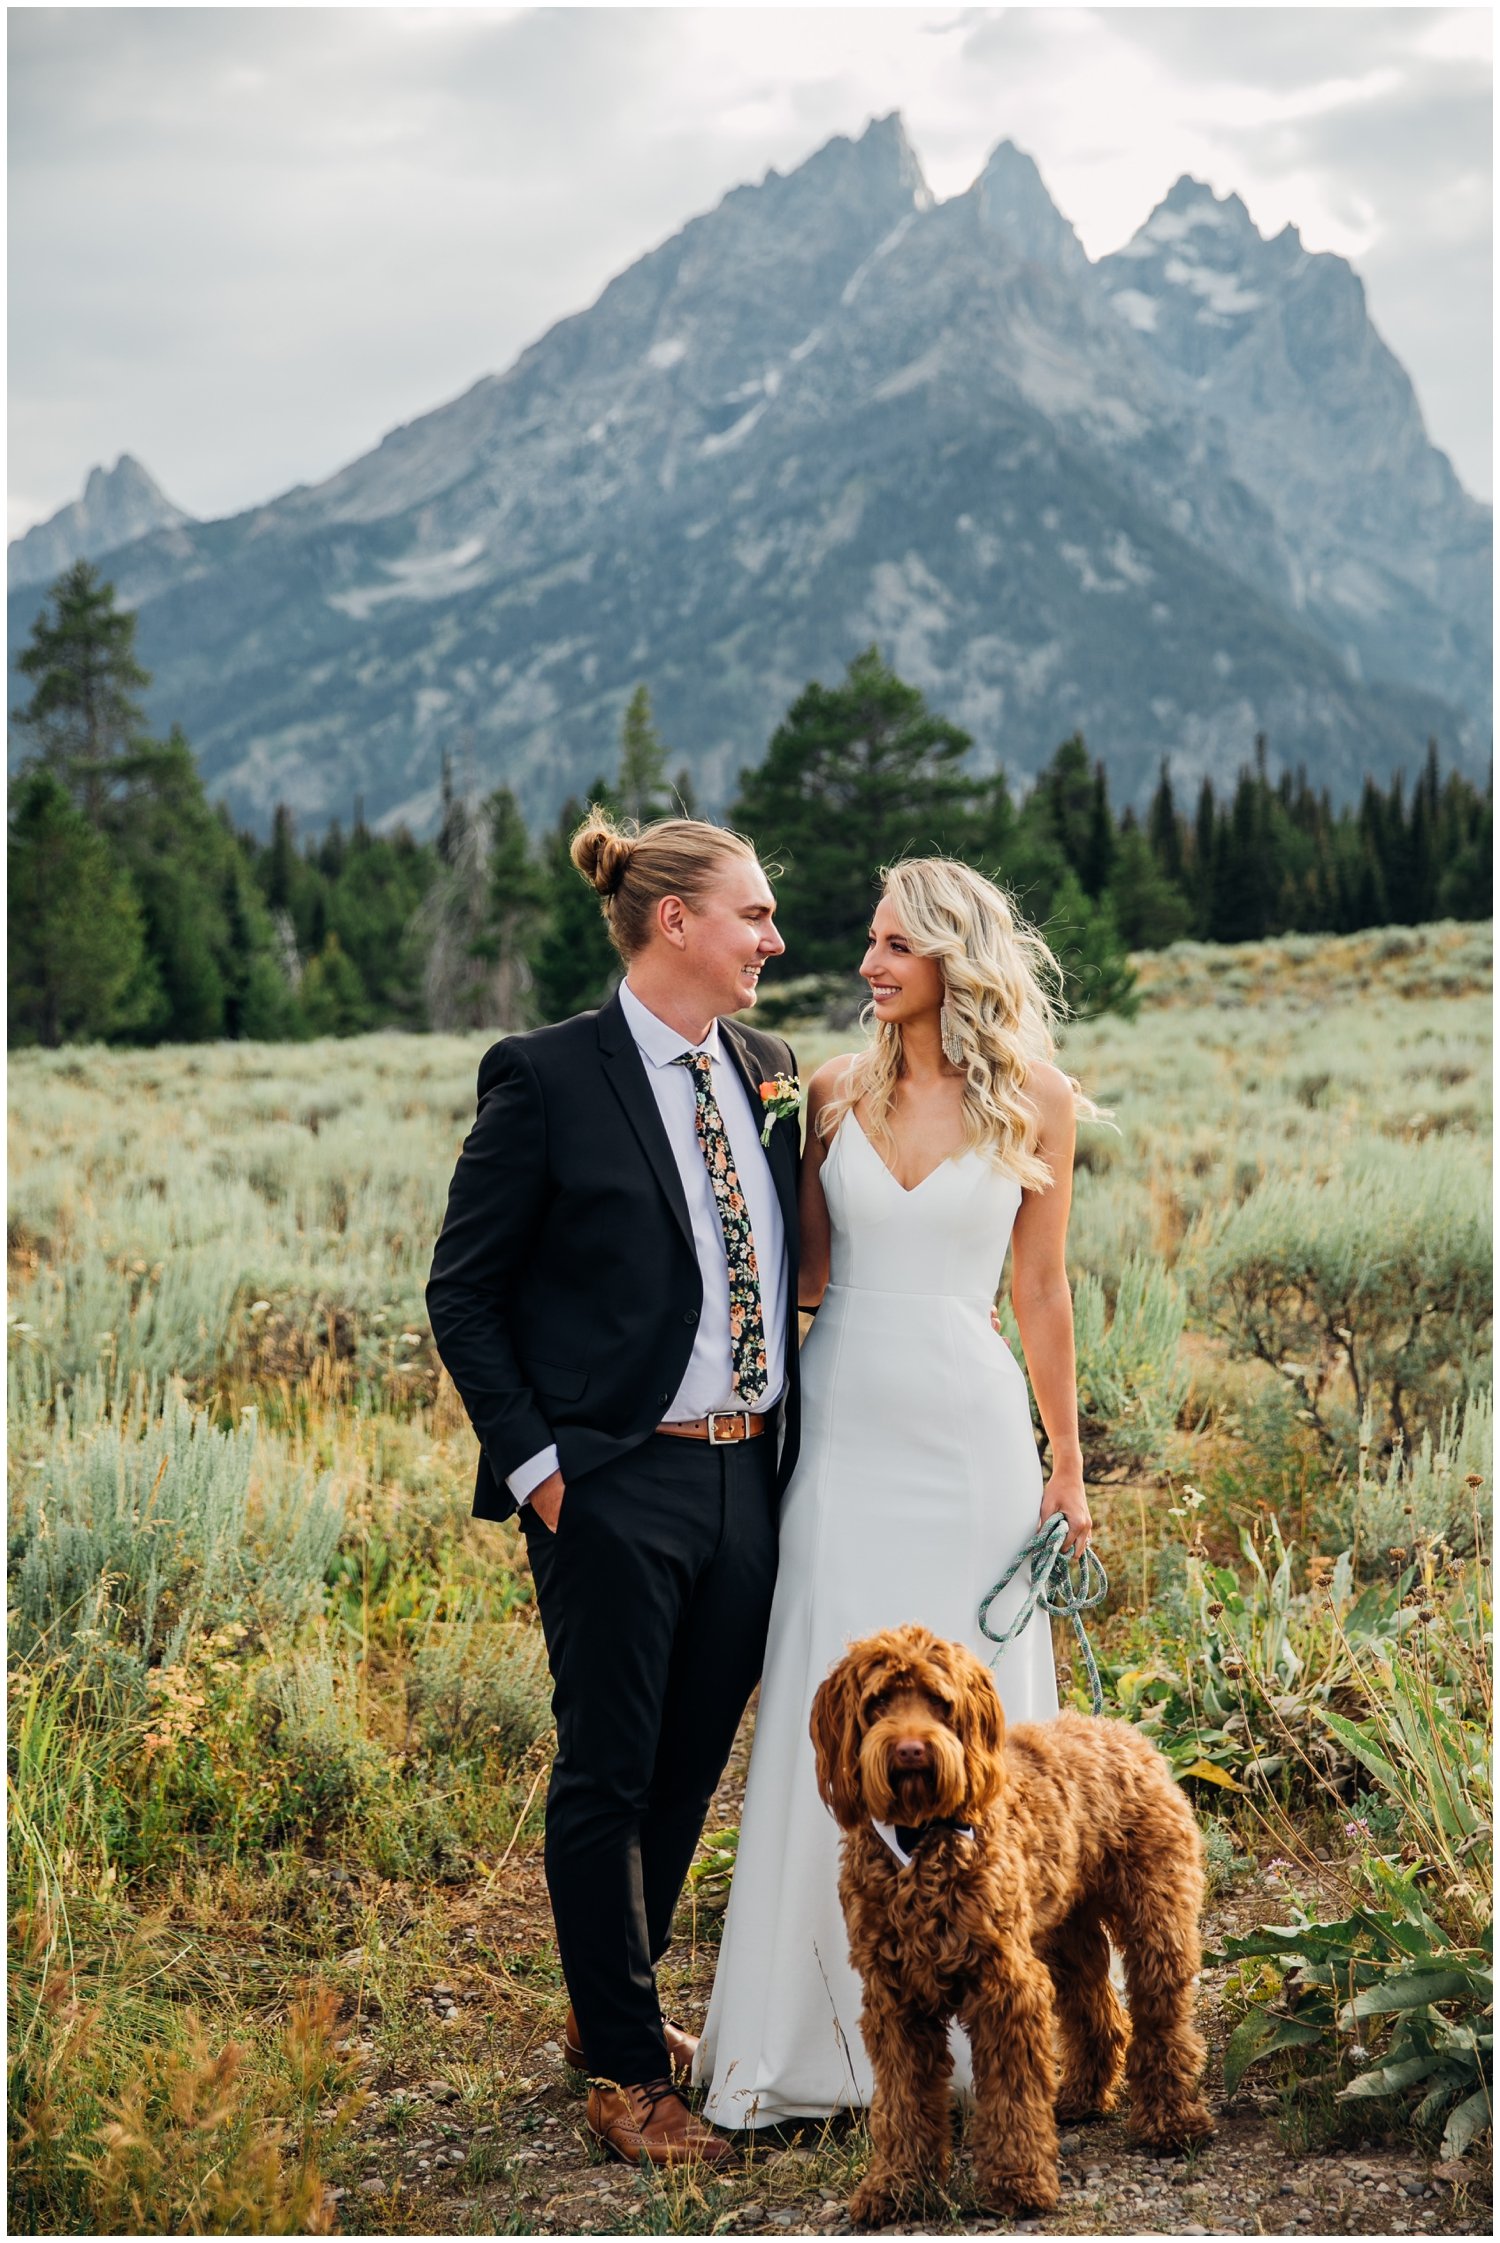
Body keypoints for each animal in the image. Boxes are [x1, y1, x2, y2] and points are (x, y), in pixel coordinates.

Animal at [807, 1632, 1219, 2225]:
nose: (910, 1749)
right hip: (1062, 1934)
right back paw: (1082, 2098)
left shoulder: (1006, 1987)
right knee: (1095, 2011)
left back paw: (1173, 2121)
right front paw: (898, 2186)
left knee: (1160, 2016)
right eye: (877, 1703)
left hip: (1155, 1918)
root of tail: (1117, 1730)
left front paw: (1016, 2183)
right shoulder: (894, 1998)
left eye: (940, 1702)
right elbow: (904, 2101)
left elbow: (1011, 2096)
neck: (922, 1840)